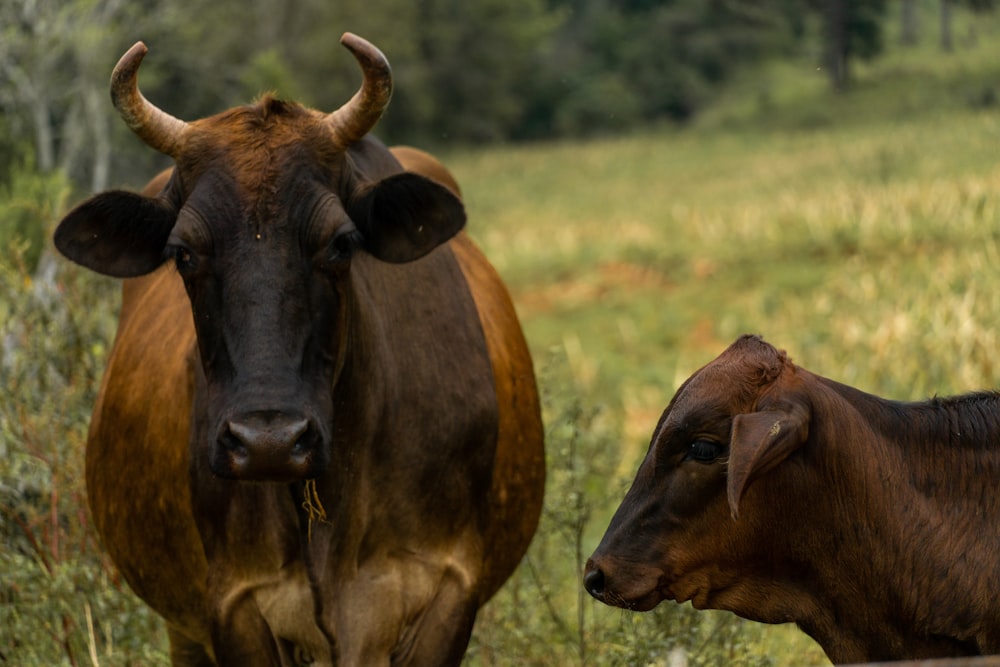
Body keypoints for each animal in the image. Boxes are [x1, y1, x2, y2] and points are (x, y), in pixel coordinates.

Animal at [53, 34, 544, 664]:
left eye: (340, 242)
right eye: (183, 253)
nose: (270, 443)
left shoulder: (448, 586)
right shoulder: (233, 604)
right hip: (182, 630)